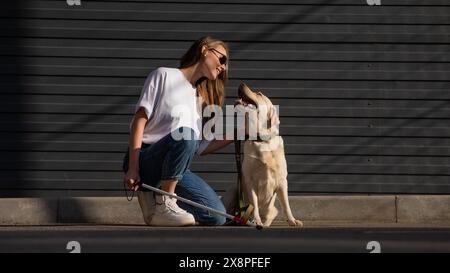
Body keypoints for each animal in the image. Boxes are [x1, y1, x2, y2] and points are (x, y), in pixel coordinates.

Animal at [234, 82, 304, 226]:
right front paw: (256, 220)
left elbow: (286, 204)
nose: (241, 83)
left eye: (259, 94)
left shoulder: (282, 180)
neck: (263, 140)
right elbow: (254, 204)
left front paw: (292, 220)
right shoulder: (249, 181)